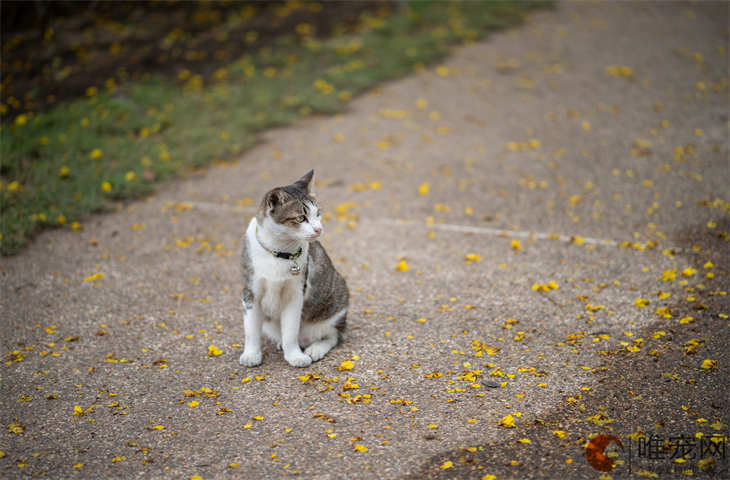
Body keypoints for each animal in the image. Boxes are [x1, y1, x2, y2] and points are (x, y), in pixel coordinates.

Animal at [239, 169, 350, 368]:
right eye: (300, 218)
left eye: (318, 214)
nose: (318, 229)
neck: (279, 251)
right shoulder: (250, 291)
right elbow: (251, 329)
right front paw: (251, 354)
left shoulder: (296, 292)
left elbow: (291, 329)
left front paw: (295, 356)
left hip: (335, 306)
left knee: (333, 336)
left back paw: (315, 348)